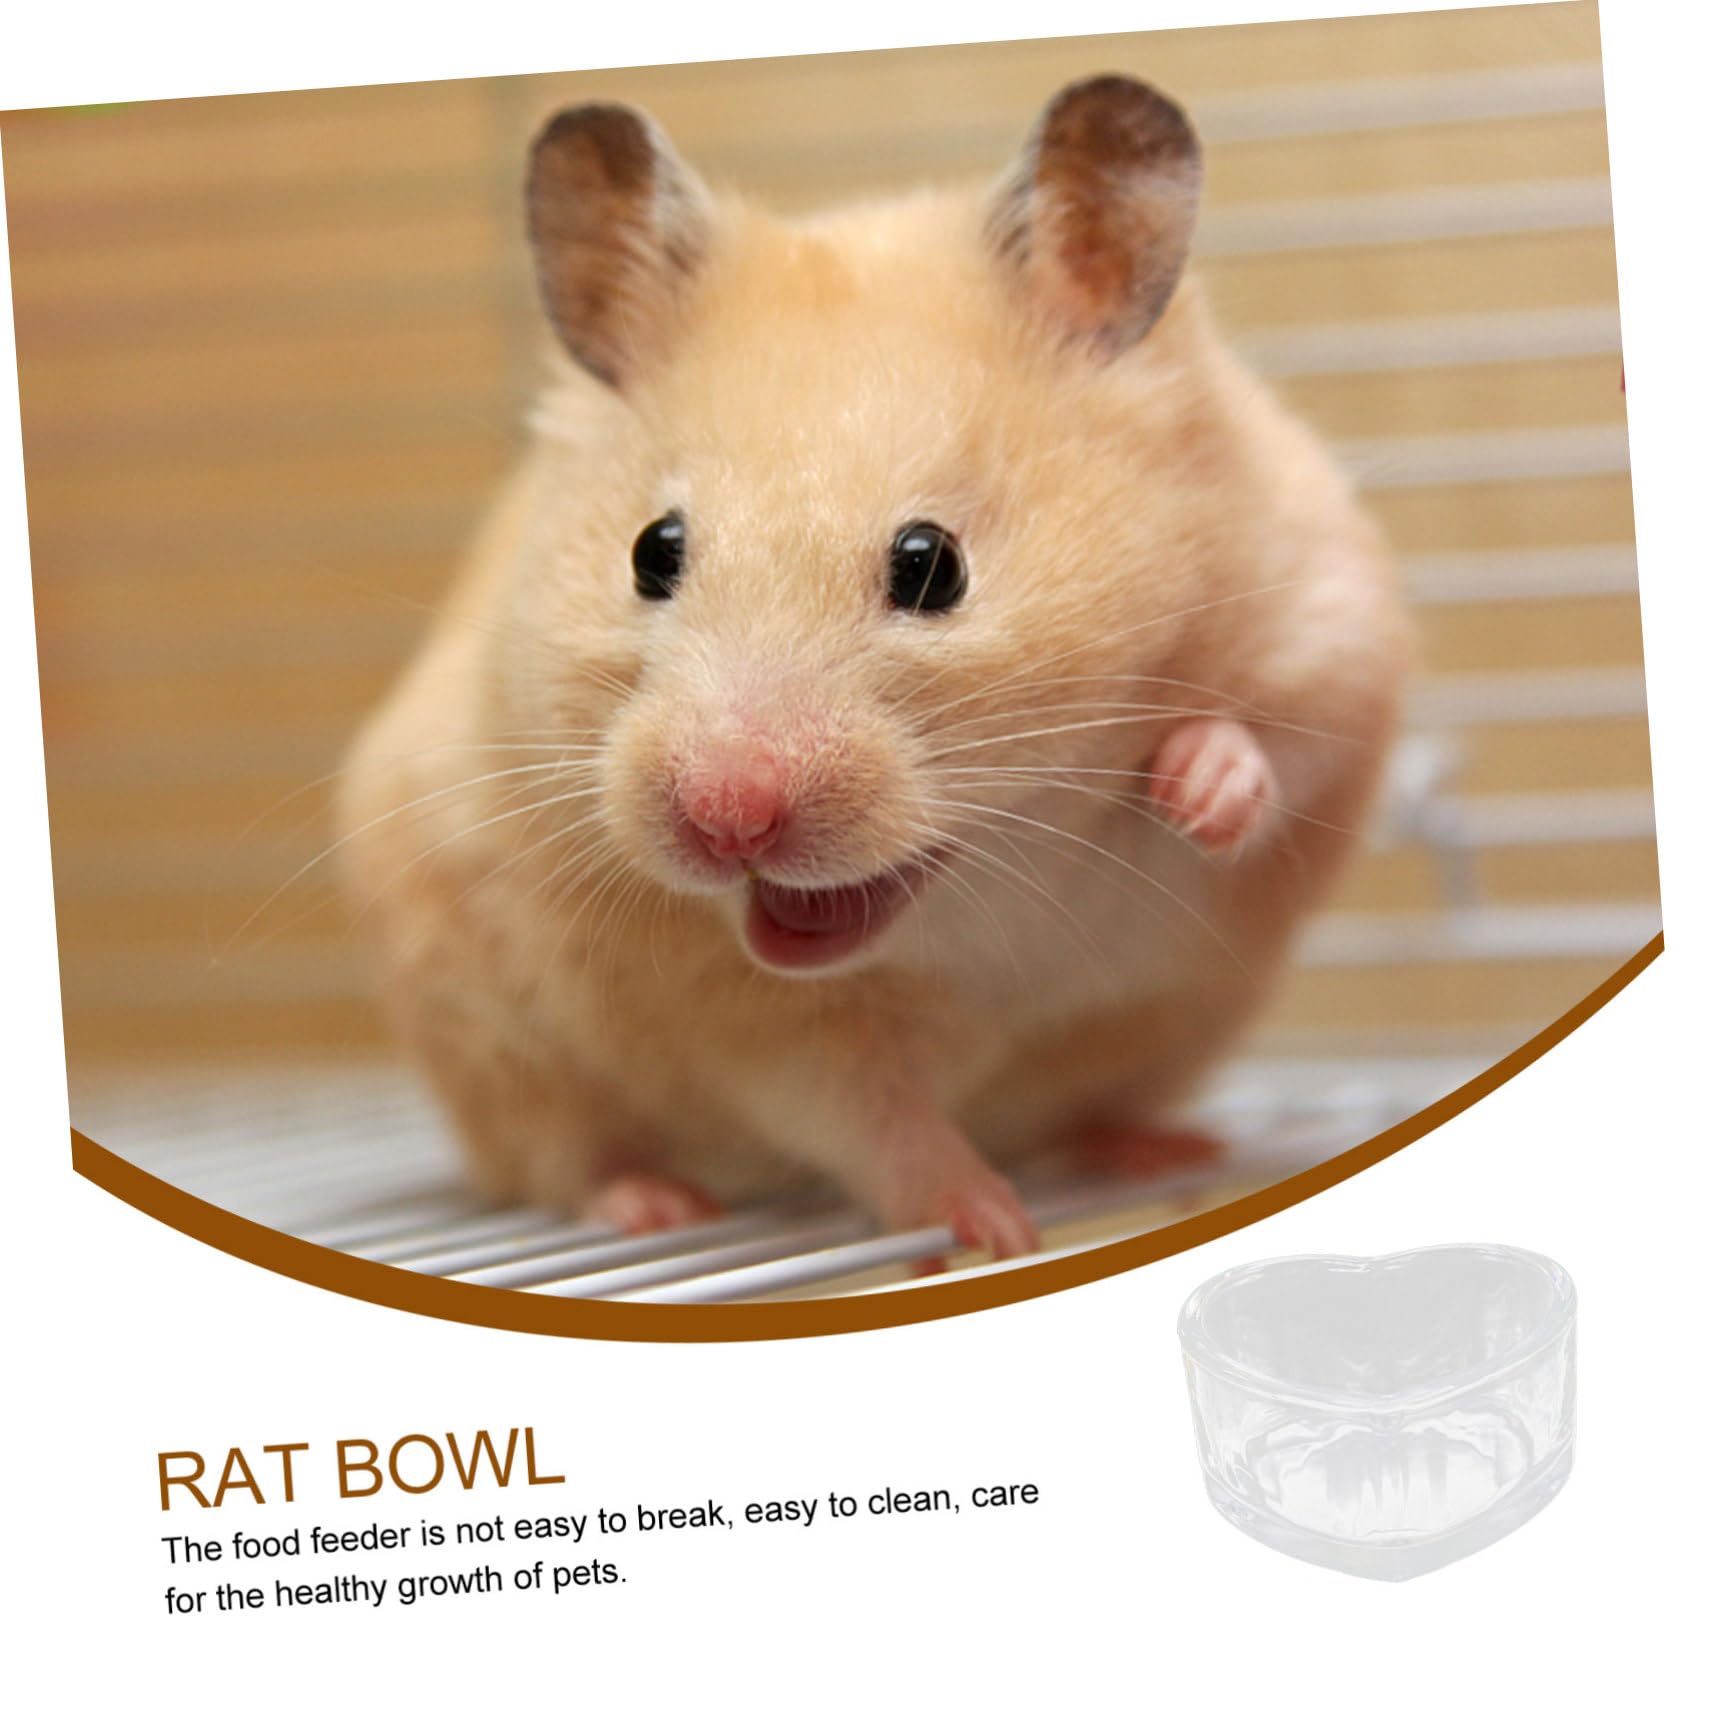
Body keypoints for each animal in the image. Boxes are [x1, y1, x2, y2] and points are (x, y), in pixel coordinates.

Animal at [338, 75, 1410, 1258]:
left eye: (931, 564)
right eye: (651, 551)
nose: (725, 819)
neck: (999, 874)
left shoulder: (1332, 626)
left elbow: (1278, 742)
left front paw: (1195, 793)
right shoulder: (779, 1030)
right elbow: (877, 1126)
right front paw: (996, 1227)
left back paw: (1162, 1148)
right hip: (490, 1044)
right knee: (562, 1160)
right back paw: (657, 1205)